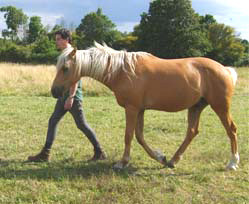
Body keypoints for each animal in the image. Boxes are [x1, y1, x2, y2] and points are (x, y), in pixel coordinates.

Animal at [51, 42, 239, 171]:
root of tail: (225, 69)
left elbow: (128, 135)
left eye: (65, 68)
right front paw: (160, 157)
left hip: (220, 107)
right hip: (195, 107)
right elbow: (139, 136)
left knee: (231, 130)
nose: (54, 91)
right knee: (192, 132)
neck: (122, 71)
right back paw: (173, 160)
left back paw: (232, 163)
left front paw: (122, 162)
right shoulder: (140, 110)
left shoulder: (132, 108)